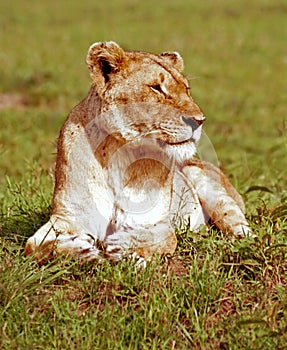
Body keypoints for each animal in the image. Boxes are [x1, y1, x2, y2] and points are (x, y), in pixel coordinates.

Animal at [25, 41, 254, 262]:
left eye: (186, 88)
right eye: (156, 88)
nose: (199, 121)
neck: (118, 153)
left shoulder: (154, 221)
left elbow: (164, 237)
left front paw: (125, 248)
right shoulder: (69, 216)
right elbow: (34, 246)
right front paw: (80, 252)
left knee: (238, 224)